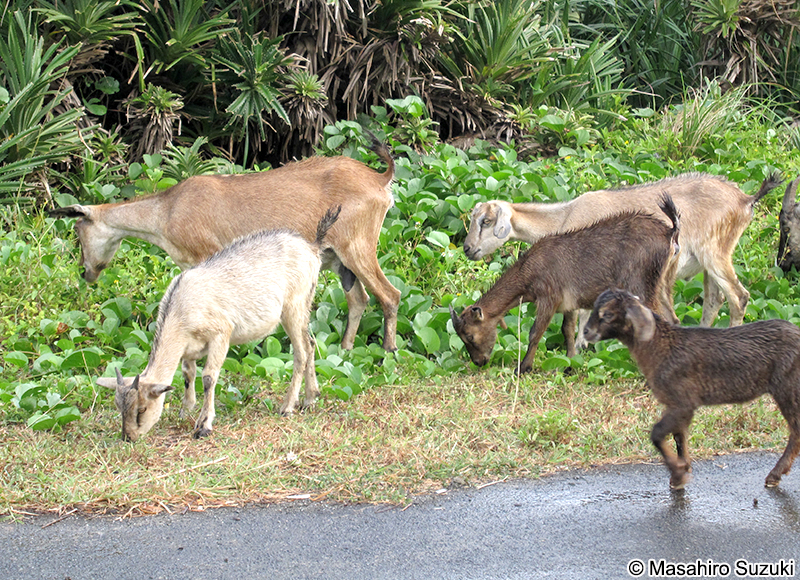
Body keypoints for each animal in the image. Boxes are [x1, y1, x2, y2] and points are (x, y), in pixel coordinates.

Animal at [50, 134, 401, 352]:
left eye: (78, 232)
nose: (86, 272)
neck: (166, 211)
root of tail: (379, 179)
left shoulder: (209, 255)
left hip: (358, 247)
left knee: (390, 294)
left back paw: (388, 351)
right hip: (339, 260)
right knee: (359, 300)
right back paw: (345, 350)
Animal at [96, 207, 341, 441]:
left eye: (142, 409)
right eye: (118, 407)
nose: (128, 437)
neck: (181, 308)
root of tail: (312, 247)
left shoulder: (221, 333)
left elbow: (208, 377)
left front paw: (203, 425)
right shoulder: (189, 348)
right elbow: (187, 374)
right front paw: (186, 410)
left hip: (293, 306)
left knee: (301, 351)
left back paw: (288, 406)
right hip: (305, 307)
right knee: (311, 343)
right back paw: (310, 397)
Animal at [450, 195, 680, 374]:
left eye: (469, 335)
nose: (479, 361)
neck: (529, 272)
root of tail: (670, 233)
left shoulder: (549, 297)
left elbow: (536, 332)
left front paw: (523, 368)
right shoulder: (569, 304)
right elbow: (567, 331)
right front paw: (570, 367)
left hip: (641, 284)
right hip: (664, 283)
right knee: (673, 319)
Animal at [464, 173, 781, 336]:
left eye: (486, 221)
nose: (467, 248)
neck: (566, 216)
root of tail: (746, 199)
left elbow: (582, 317)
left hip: (715, 252)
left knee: (738, 297)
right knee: (714, 301)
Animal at [584, 288, 800, 489]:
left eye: (607, 314)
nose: (586, 331)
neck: (660, 346)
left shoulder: (683, 402)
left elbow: (657, 433)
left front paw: (678, 474)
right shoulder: (676, 405)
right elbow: (679, 437)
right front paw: (681, 471)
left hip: (788, 387)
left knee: (796, 430)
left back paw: (774, 475)